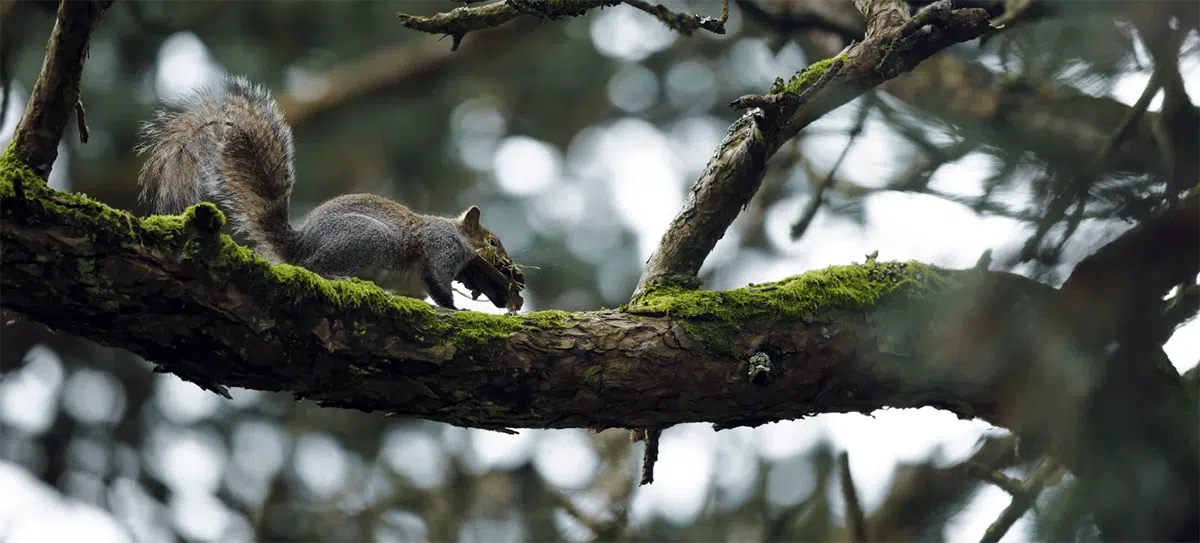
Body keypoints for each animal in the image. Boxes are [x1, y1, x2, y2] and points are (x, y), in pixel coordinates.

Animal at [136, 74, 511, 309]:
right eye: (493, 242)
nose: (509, 268)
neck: (456, 233)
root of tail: (300, 245)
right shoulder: (438, 249)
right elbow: (437, 283)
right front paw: (456, 308)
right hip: (366, 239)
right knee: (315, 268)